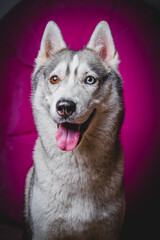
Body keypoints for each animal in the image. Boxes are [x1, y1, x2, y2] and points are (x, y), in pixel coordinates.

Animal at [23, 21, 124, 240]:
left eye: (90, 80)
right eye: (54, 79)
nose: (65, 106)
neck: (77, 167)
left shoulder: (109, 228)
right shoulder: (45, 230)